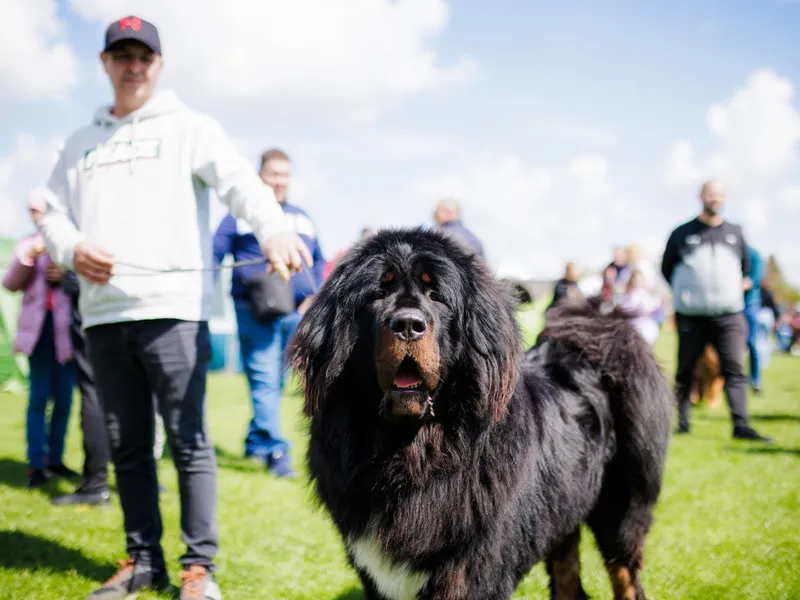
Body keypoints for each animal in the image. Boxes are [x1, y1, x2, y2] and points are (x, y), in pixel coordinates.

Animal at [288, 229, 676, 600]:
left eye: (436, 296)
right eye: (377, 295)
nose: (408, 324)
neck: (412, 455)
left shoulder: (470, 570)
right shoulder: (375, 572)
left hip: (621, 511)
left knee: (626, 577)